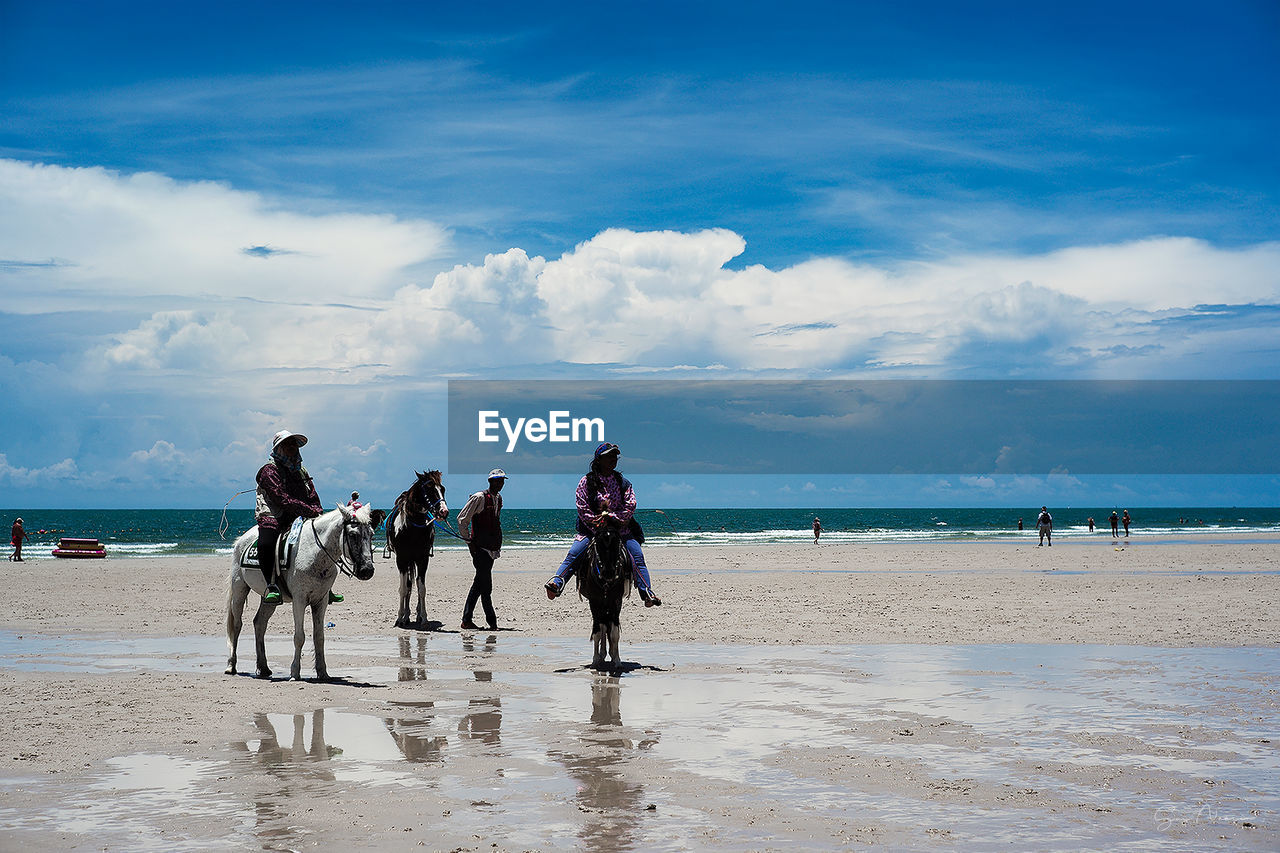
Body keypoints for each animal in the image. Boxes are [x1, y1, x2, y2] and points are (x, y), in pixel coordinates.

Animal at [226, 504, 384, 676]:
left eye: (372, 534)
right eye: (353, 534)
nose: (367, 570)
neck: (315, 553)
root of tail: (241, 540)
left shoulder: (321, 601)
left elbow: (319, 636)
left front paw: (322, 672)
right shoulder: (299, 600)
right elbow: (299, 636)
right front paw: (295, 672)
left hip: (269, 599)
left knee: (260, 623)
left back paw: (264, 667)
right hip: (239, 589)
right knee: (237, 625)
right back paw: (231, 665)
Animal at [384, 468, 450, 627]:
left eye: (442, 489)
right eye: (430, 488)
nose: (444, 512)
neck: (412, 527)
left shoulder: (422, 559)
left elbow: (421, 589)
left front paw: (424, 617)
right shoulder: (402, 560)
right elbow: (403, 589)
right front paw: (400, 617)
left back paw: (416, 615)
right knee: (408, 585)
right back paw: (406, 617)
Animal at [573, 522, 632, 666]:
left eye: (617, 543)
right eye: (598, 544)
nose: (608, 572)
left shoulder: (616, 601)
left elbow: (614, 632)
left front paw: (617, 660)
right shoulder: (594, 601)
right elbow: (598, 632)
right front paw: (595, 660)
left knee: (607, 624)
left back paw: (609, 654)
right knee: (603, 626)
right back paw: (602, 655)